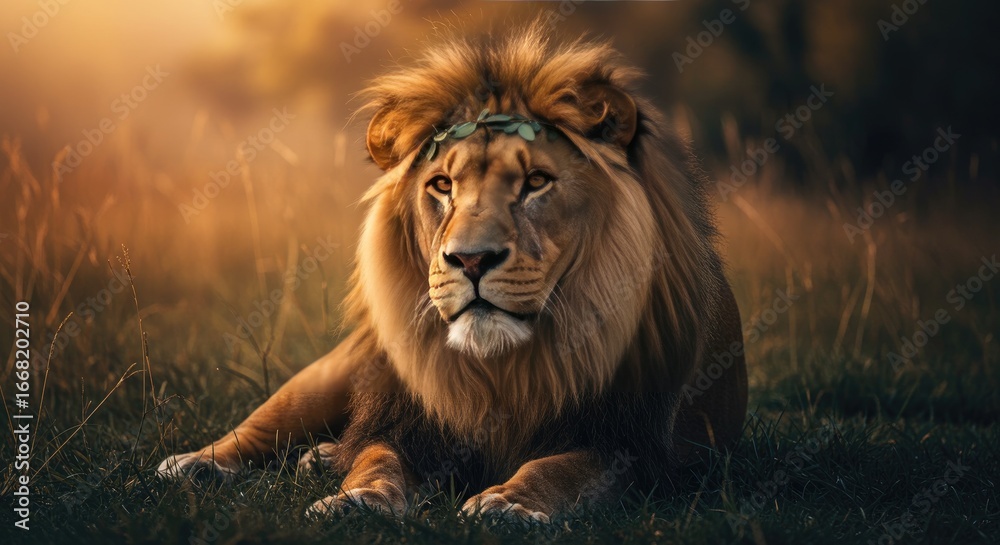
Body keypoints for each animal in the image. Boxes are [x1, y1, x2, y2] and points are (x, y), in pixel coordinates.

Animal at [157, 22, 747, 523]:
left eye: (536, 182)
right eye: (442, 185)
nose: (470, 260)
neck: (503, 368)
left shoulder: (630, 445)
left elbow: (558, 467)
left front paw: (508, 503)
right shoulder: (407, 424)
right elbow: (376, 460)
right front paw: (357, 499)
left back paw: (317, 457)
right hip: (333, 373)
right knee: (264, 427)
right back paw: (199, 464)